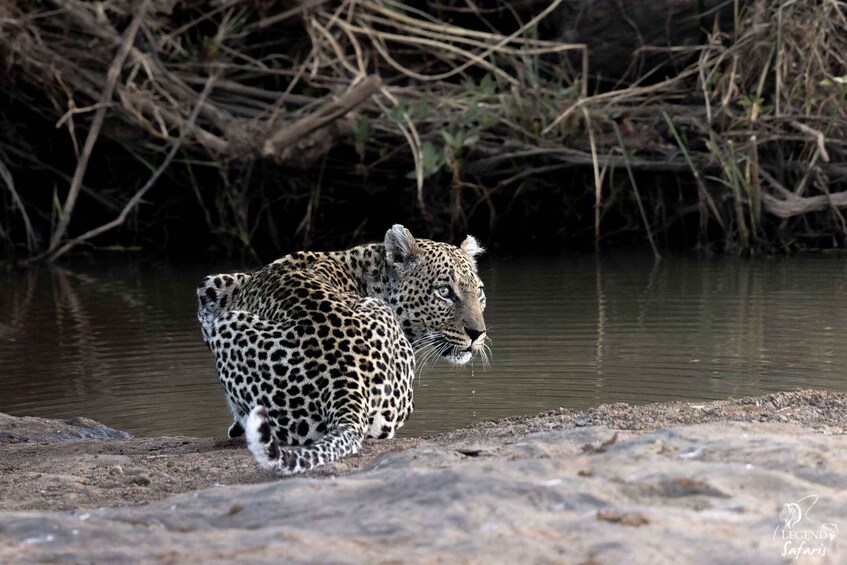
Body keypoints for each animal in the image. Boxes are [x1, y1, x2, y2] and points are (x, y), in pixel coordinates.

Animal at [198, 225, 486, 476]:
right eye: (444, 292)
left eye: (479, 292)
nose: (478, 333)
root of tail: (343, 377)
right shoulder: (213, 286)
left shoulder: (218, 287)